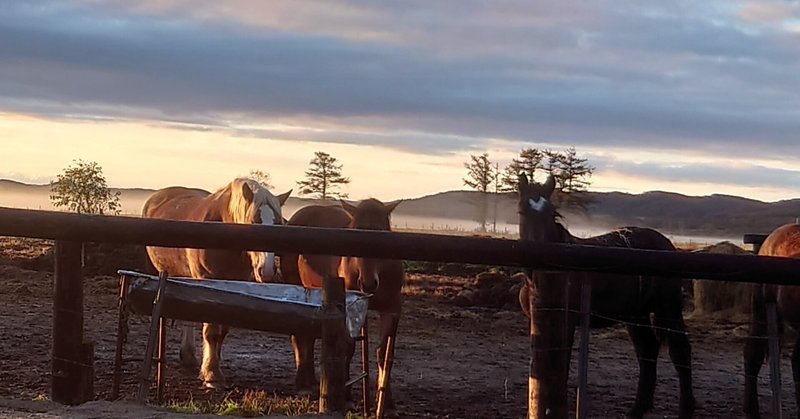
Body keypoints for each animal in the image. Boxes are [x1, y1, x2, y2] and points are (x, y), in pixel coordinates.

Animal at [141, 178, 290, 390]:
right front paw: (211, 375)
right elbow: (211, 330)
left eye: (279, 223)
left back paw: (189, 357)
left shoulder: (234, 285)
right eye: (253, 221)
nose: (267, 271)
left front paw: (212, 365)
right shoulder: (207, 280)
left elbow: (223, 330)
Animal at [282, 199, 406, 416]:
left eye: (382, 234)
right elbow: (348, 348)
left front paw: (387, 404)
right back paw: (303, 386)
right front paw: (346, 398)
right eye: (355, 235)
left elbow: (384, 353)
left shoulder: (391, 309)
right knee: (299, 336)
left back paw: (312, 383)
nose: (368, 283)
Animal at [520, 172, 692, 418]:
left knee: (680, 353)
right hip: (635, 314)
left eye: (552, 213)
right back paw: (636, 410)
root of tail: (667, 244)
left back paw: (685, 410)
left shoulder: (567, 322)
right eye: (522, 211)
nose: (540, 255)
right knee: (648, 351)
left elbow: (561, 368)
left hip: (667, 308)